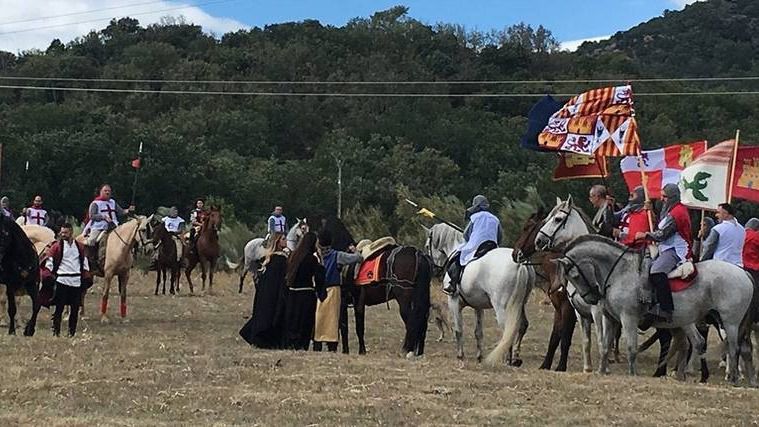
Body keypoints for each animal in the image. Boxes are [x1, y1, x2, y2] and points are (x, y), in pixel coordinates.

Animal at [428, 222, 536, 366]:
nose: (434, 270)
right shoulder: (478, 307)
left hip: (503, 307)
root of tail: (520, 264)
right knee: (522, 326)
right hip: (520, 304)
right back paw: (515, 358)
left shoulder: (454, 302)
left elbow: (458, 330)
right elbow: (478, 332)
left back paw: (506, 359)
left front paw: (460, 356)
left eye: (427, 245)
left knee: (508, 330)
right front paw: (479, 356)